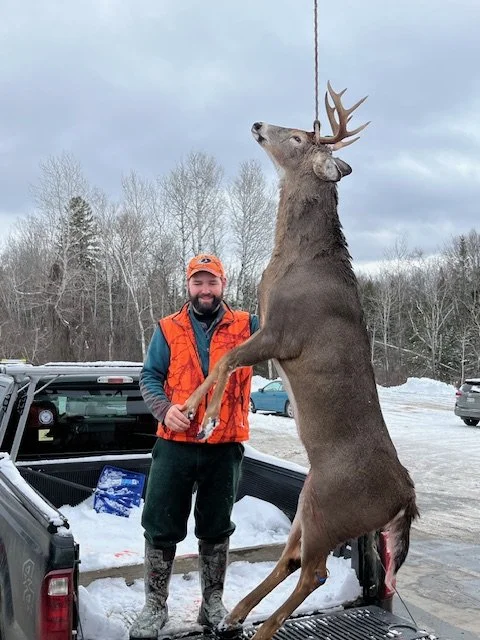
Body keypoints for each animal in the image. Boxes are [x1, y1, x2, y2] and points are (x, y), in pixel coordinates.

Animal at [183, 82, 419, 640]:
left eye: (295, 136)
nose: (256, 123)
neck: (295, 258)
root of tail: (404, 497)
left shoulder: (283, 334)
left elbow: (226, 361)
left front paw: (207, 421)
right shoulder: (262, 326)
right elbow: (221, 363)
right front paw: (190, 411)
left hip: (331, 507)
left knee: (315, 570)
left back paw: (263, 628)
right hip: (311, 503)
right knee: (293, 559)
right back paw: (240, 612)